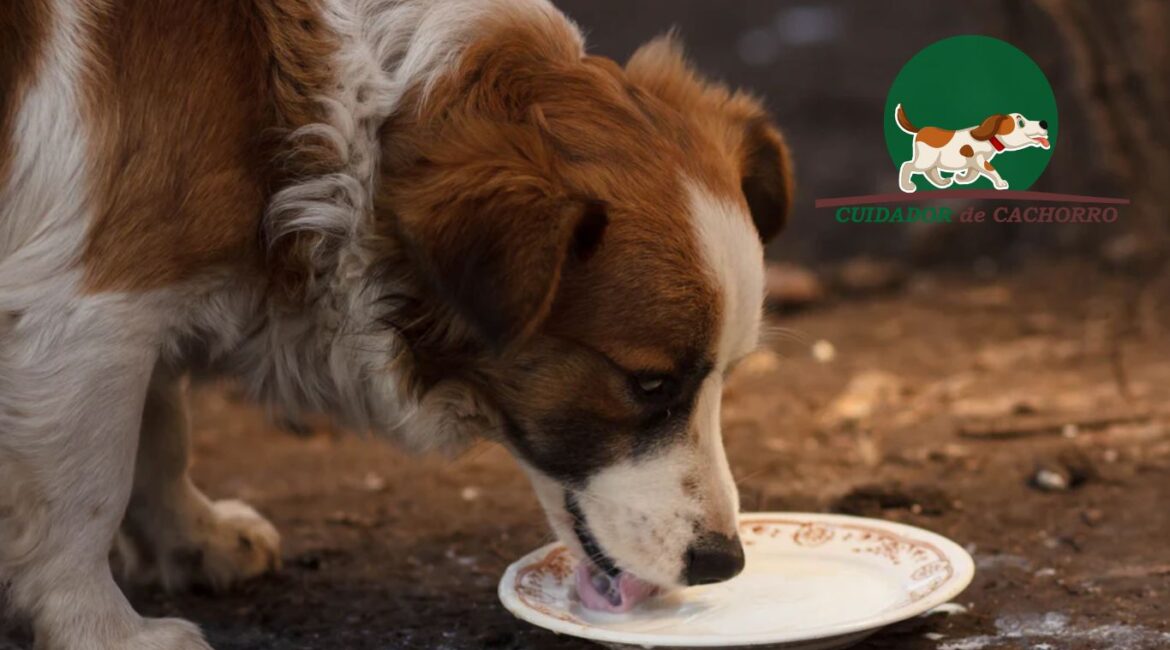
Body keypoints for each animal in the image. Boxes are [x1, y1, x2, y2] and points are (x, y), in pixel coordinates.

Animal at [0, 0, 790, 645]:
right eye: (650, 383)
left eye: (726, 375)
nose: (724, 563)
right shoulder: (86, 309)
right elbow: (88, 492)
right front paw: (99, 628)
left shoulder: (133, 293)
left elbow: (160, 433)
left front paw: (189, 536)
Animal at [893, 102, 1053, 191]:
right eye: (1021, 123)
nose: (1044, 123)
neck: (990, 138)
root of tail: (921, 130)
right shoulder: (979, 160)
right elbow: (991, 169)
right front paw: (1001, 183)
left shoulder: (973, 162)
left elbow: (972, 174)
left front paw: (962, 179)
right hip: (926, 159)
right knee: (908, 166)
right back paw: (907, 186)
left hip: (932, 159)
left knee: (931, 171)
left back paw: (942, 182)